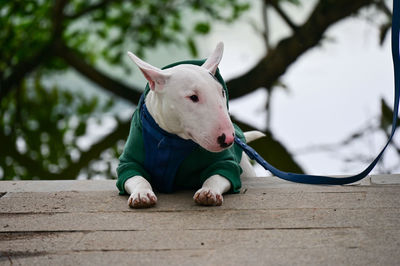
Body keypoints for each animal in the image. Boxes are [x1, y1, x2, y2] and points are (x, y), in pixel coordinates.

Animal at [116, 42, 262, 208]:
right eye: (193, 97)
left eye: (222, 92)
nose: (228, 139)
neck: (170, 140)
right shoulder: (129, 162)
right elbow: (135, 176)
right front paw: (141, 194)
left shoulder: (226, 163)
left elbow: (219, 173)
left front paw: (208, 192)